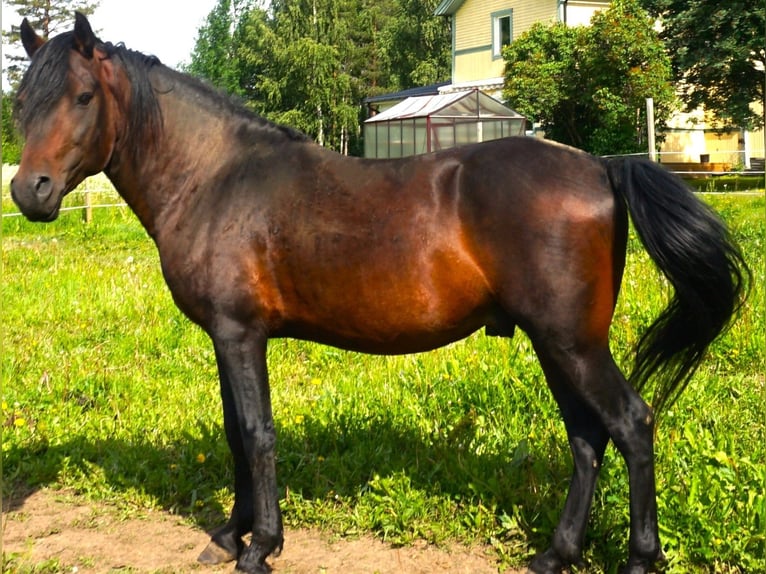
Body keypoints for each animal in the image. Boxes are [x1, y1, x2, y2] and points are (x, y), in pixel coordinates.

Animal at [10, 14, 748, 574]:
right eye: (21, 104)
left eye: (82, 97)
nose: (29, 192)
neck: (216, 177)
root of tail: (599, 165)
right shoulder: (227, 337)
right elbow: (233, 434)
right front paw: (228, 534)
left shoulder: (239, 334)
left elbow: (255, 433)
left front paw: (261, 546)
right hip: (557, 343)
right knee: (587, 438)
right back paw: (554, 554)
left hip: (572, 343)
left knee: (631, 424)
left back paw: (639, 558)